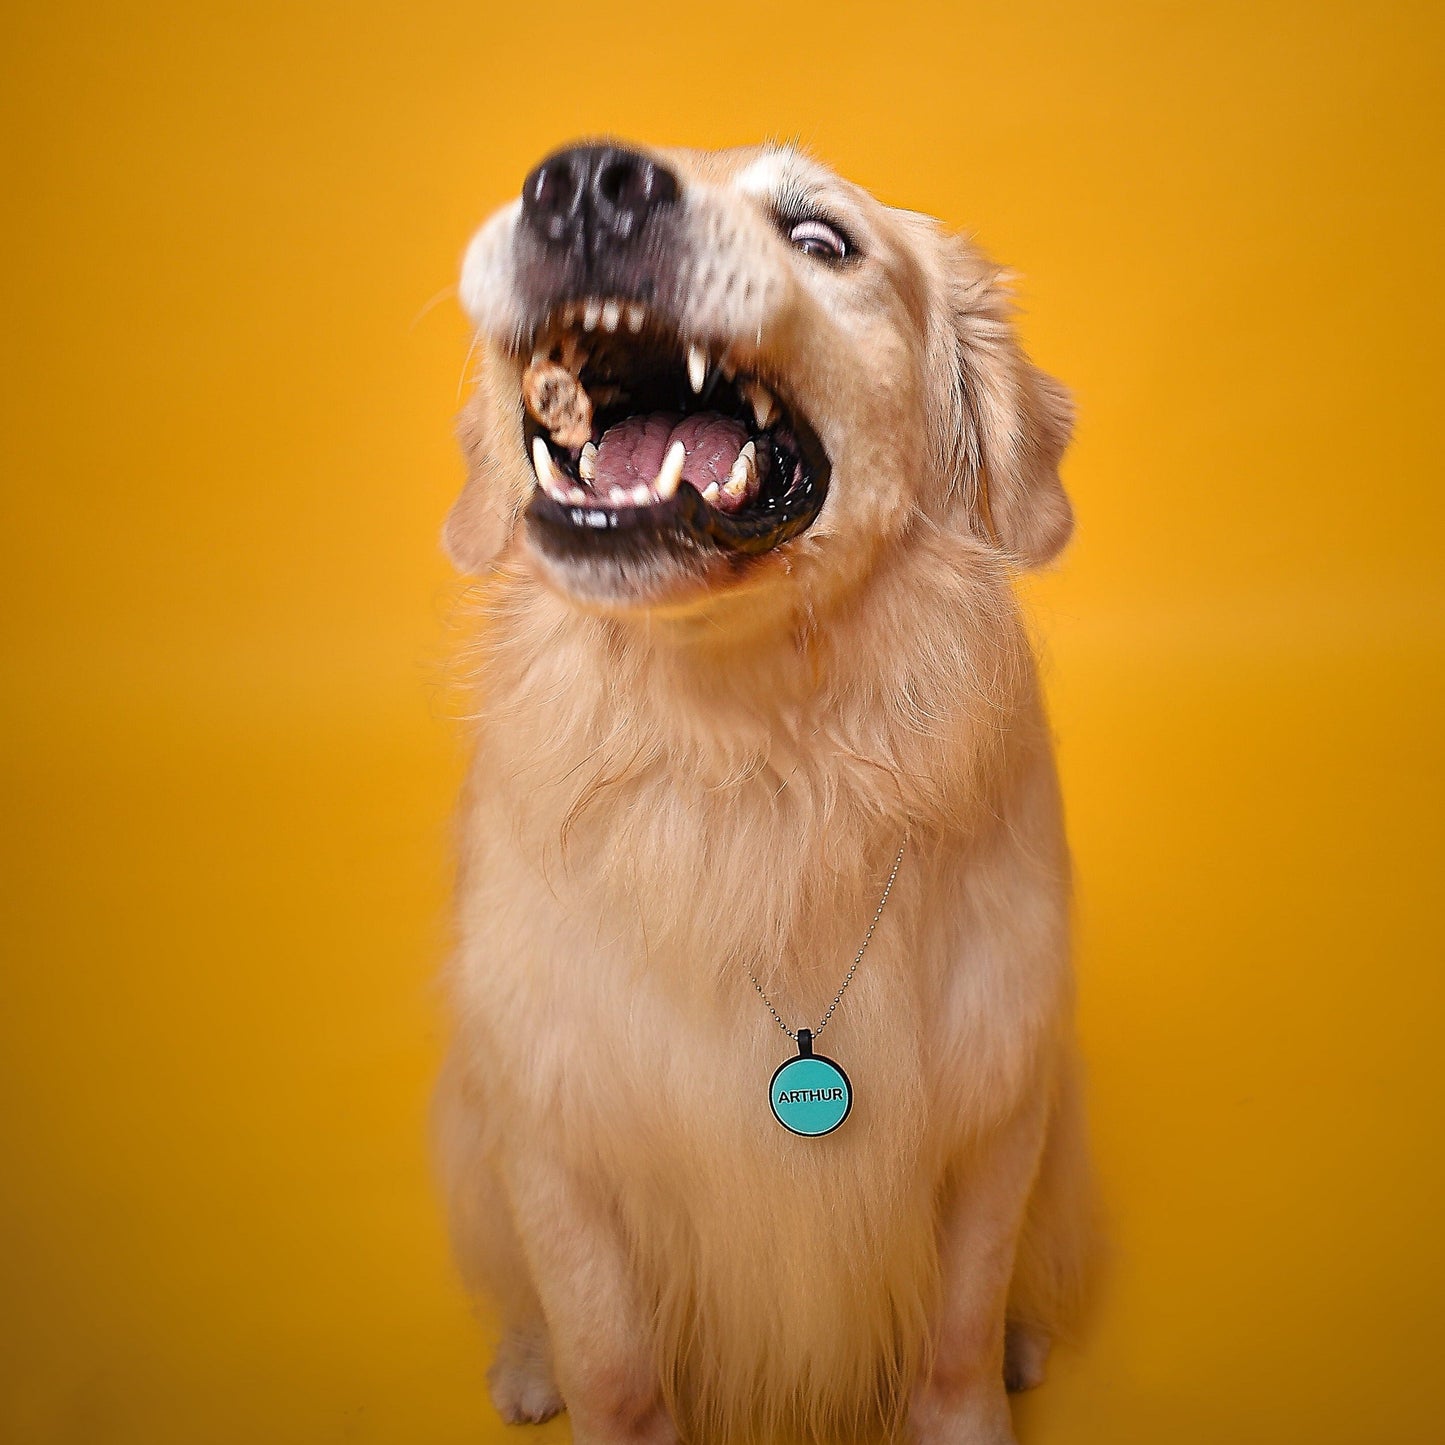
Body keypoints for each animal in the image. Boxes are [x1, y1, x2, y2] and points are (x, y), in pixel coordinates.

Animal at [433, 137, 1086, 1445]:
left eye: (822, 239)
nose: (583, 185)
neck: (747, 751)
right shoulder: (552, 1135)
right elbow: (613, 1364)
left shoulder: (997, 1110)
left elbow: (954, 1338)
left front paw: (974, 1394)